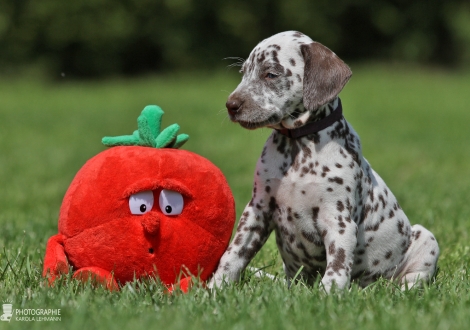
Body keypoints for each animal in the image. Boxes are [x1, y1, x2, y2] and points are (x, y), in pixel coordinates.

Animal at [211, 31, 438, 292]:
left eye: (271, 74)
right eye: (244, 73)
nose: (231, 105)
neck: (298, 149)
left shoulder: (338, 220)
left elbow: (337, 267)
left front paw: (328, 296)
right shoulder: (258, 210)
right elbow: (235, 253)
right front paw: (214, 288)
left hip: (426, 239)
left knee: (411, 280)